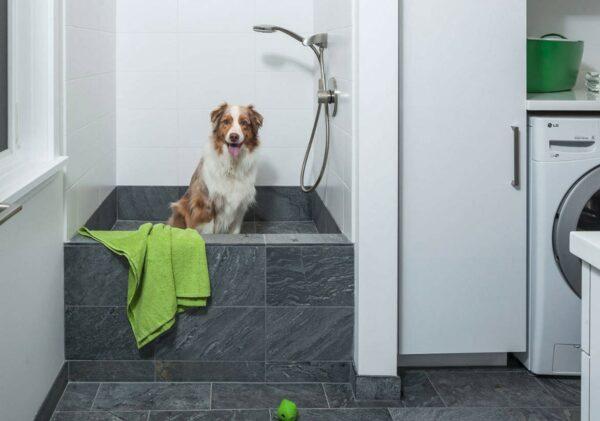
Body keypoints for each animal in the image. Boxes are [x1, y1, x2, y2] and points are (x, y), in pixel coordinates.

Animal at [168, 101, 264, 233]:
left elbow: (235, 230)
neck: (232, 164)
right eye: (226, 121)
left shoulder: (240, 205)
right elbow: (209, 229)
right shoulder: (205, 203)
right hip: (180, 207)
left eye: (244, 122)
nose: (234, 136)